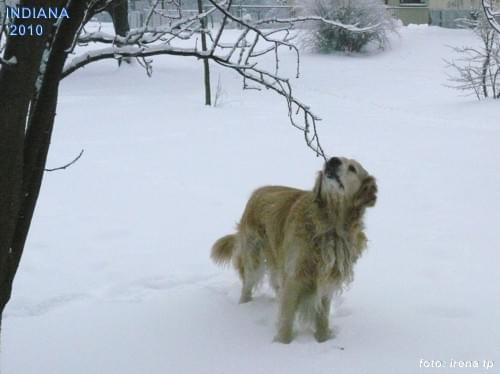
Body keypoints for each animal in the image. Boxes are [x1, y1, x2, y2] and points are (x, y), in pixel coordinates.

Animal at [209, 156, 376, 344]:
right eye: (334, 159)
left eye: (352, 168)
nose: (332, 161)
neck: (330, 226)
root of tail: (258, 191)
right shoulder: (295, 276)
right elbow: (286, 319)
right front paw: (284, 344)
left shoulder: (326, 278)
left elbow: (322, 317)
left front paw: (322, 340)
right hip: (254, 257)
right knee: (247, 286)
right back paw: (244, 308)